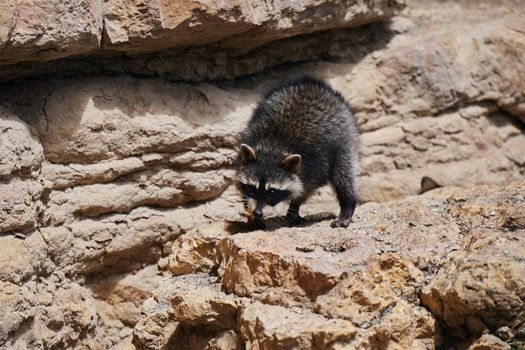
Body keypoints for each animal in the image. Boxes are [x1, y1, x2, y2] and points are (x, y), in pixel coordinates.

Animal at [238, 76, 358, 228]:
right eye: (252, 187)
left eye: (272, 191)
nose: (258, 213)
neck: (273, 146)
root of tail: (311, 84)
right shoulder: (250, 137)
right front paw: (251, 213)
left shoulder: (314, 165)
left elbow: (304, 188)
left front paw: (294, 208)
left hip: (345, 138)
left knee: (344, 174)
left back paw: (348, 203)